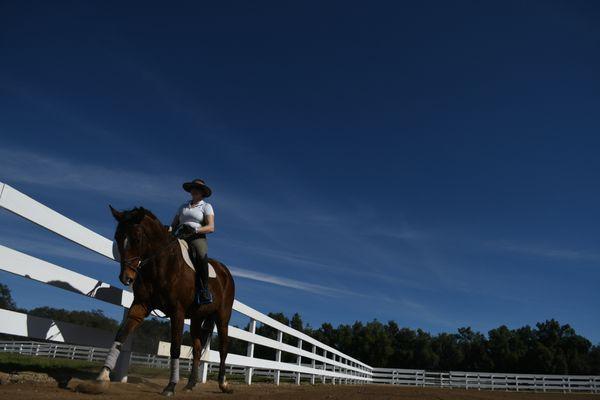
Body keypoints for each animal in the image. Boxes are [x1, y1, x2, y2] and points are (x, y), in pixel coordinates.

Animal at [95, 208, 234, 396]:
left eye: (137, 238)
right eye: (117, 236)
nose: (126, 278)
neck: (161, 264)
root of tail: (225, 272)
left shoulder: (177, 312)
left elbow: (175, 348)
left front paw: (170, 386)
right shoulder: (140, 305)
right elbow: (121, 336)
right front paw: (103, 376)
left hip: (222, 317)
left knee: (223, 349)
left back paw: (223, 384)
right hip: (197, 318)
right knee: (197, 349)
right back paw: (190, 384)